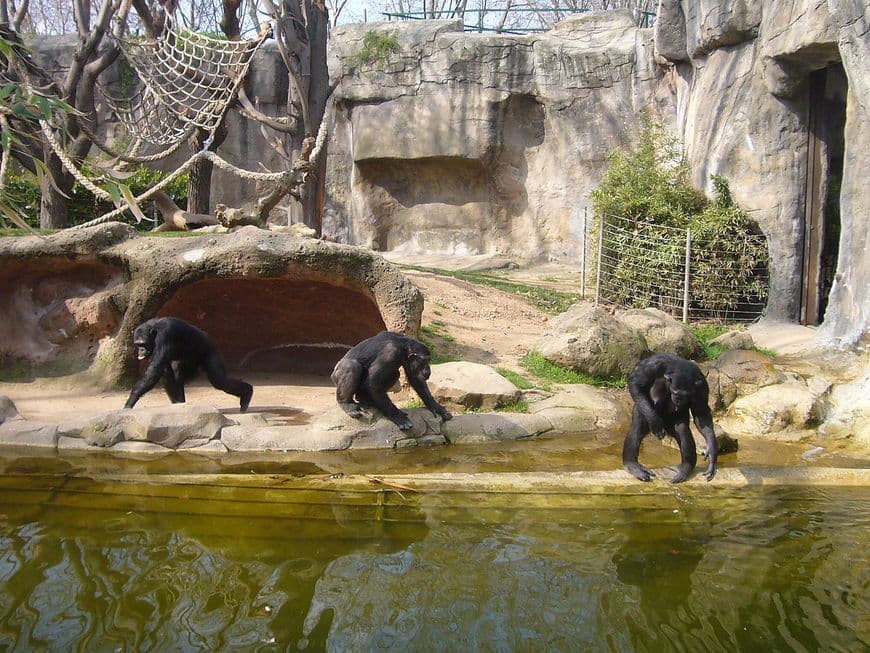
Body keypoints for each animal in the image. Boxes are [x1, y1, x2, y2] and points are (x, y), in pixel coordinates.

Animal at [122, 318, 254, 412]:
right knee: (176, 374)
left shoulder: (165, 335)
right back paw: (180, 403)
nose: (140, 351)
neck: (154, 330)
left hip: (210, 349)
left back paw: (247, 394)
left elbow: (154, 369)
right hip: (188, 361)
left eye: (142, 344)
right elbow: (160, 369)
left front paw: (130, 402)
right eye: (138, 344)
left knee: (219, 380)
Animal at [624, 352, 720, 484]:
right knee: (636, 429)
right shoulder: (654, 364)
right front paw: (655, 421)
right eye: (675, 393)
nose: (678, 400)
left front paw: (712, 452)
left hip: (673, 421)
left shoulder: (702, 386)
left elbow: (701, 414)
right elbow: (636, 383)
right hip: (642, 410)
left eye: (685, 395)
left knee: (682, 430)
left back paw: (685, 467)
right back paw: (633, 465)